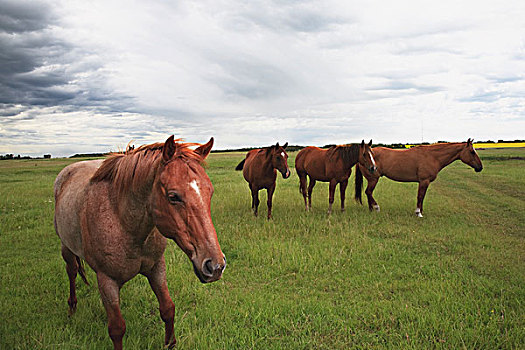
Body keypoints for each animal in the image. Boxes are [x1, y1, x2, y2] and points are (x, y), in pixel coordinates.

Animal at [54, 137, 224, 350]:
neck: (123, 221)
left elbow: (168, 309)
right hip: (66, 248)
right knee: (72, 271)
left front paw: (170, 343)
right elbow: (117, 328)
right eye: (173, 196)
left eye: (210, 192)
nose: (215, 266)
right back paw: (72, 307)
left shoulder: (156, 268)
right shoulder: (106, 280)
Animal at [352, 139, 484, 216]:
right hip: (373, 179)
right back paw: (376, 207)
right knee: (368, 192)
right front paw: (418, 212)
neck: (432, 156)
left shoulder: (424, 182)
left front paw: (421, 211)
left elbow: (422, 197)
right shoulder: (424, 181)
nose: (480, 167)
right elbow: (420, 196)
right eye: (472, 151)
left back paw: (371, 209)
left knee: (368, 193)